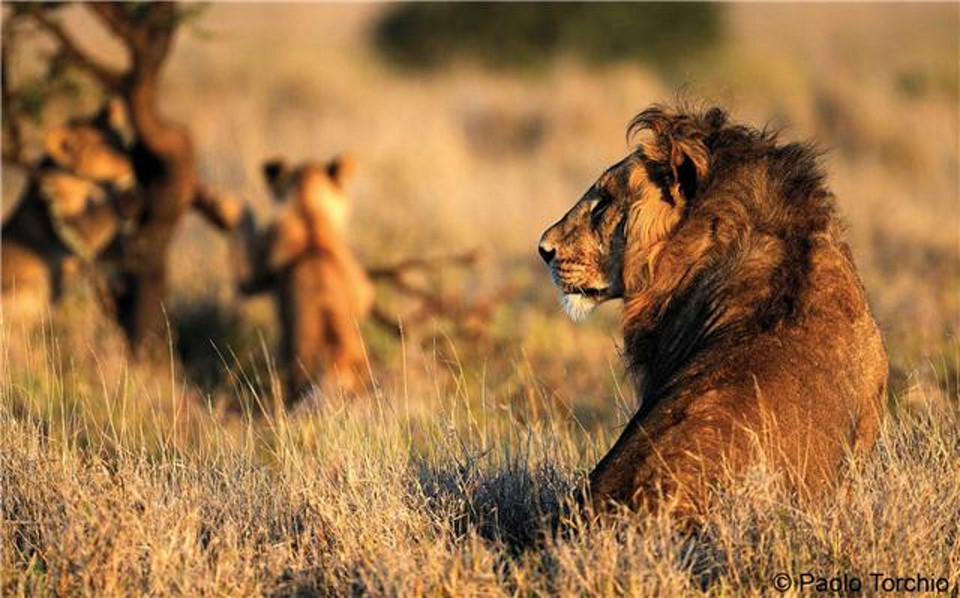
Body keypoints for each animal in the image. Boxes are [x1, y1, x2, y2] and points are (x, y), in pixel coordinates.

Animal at [234, 155, 374, 408]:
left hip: (295, 378)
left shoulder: (251, 281)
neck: (309, 212)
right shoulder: (362, 289)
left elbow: (243, 225)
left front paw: (240, 207)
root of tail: (335, 361)